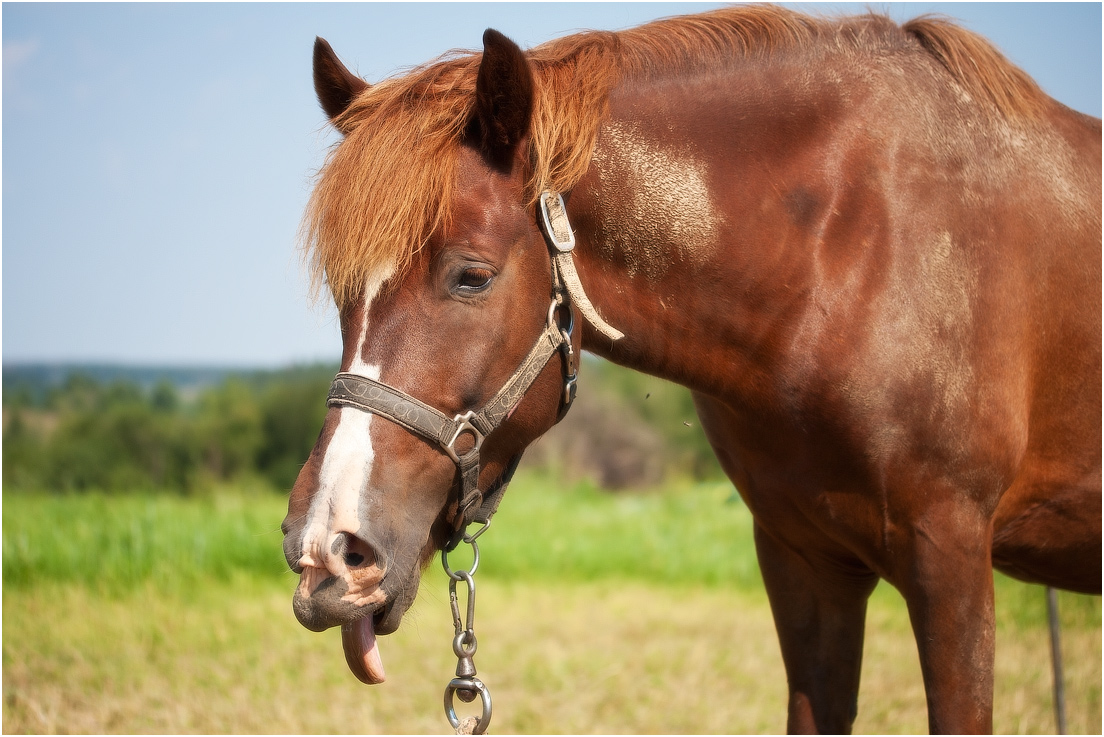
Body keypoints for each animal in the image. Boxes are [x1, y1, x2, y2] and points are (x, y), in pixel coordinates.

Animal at [280, 5, 1099, 732]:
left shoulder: (951, 557)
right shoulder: (804, 560)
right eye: (345, 293)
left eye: (472, 276)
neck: (854, 248)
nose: (327, 552)